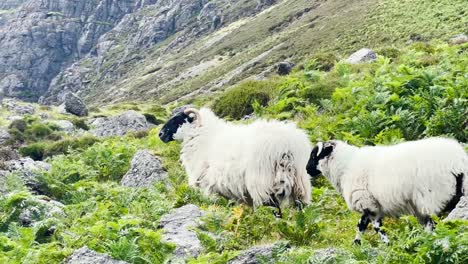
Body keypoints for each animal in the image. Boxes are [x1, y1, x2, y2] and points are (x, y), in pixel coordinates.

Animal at [159, 107, 312, 217]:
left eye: (177, 120)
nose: (160, 134)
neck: (202, 136)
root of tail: (286, 145)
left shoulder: (208, 187)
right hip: (300, 182)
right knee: (301, 206)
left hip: (261, 183)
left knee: (273, 209)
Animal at [306, 137, 468, 244]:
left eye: (314, 155)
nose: (306, 170)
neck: (345, 167)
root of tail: (458, 160)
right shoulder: (370, 204)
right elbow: (361, 226)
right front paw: (357, 245)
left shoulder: (368, 203)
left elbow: (377, 227)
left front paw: (386, 244)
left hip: (432, 195)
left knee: (434, 222)